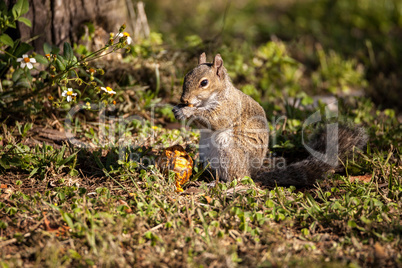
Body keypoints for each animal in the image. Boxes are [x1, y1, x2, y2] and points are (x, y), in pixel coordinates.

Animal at [173, 51, 368, 186]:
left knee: (238, 177)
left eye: (204, 83)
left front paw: (187, 112)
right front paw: (178, 109)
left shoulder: (229, 108)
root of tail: (252, 172)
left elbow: (215, 121)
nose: (184, 99)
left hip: (229, 152)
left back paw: (222, 184)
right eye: (186, 76)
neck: (218, 94)